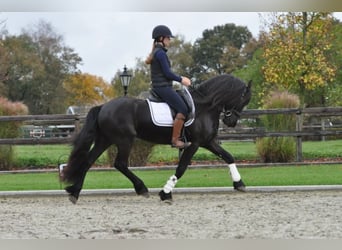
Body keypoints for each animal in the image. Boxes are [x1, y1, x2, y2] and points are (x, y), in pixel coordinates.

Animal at [61, 74, 251, 203]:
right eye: (244, 99)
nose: (231, 122)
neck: (205, 106)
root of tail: (103, 106)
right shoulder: (195, 144)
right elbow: (181, 168)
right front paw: (165, 193)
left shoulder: (207, 142)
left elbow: (228, 156)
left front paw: (239, 183)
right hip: (124, 140)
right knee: (120, 164)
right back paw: (141, 188)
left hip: (105, 140)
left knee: (88, 161)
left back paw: (75, 192)